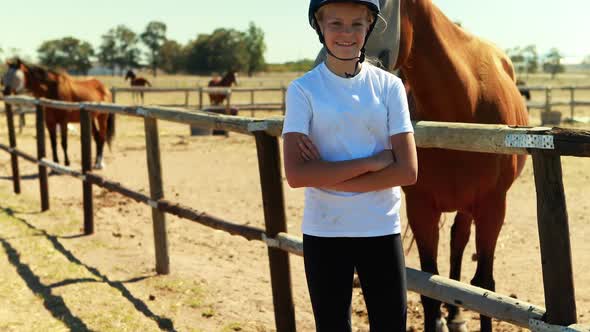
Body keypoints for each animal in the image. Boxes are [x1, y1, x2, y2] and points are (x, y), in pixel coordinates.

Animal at [394, 1, 532, 330]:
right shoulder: (421, 208)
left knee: (459, 242)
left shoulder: (492, 208)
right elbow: (429, 285)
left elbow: (484, 286)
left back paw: (456, 315)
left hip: (471, 207)